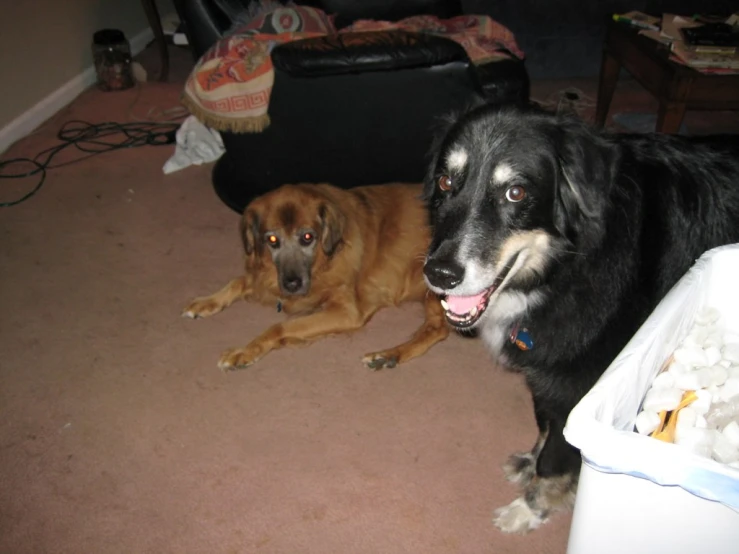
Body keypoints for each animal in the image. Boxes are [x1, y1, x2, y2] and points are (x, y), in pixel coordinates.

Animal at [184, 183, 450, 368]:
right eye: (272, 239)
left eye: (307, 237)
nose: (292, 284)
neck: (323, 263)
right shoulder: (267, 279)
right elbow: (237, 281)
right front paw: (206, 302)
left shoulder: (346, 311)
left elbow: (279, 327)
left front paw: (245, 351)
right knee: (436, 329)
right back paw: (388, 356)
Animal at [422, 103, 739, 532]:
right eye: (445, 181)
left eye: (515, 193)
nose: (439, 274)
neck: (567, 265)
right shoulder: (549, 374)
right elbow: (545, 426)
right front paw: (531, 464)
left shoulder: (579, 385)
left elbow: (557, 454)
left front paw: (532, 506)